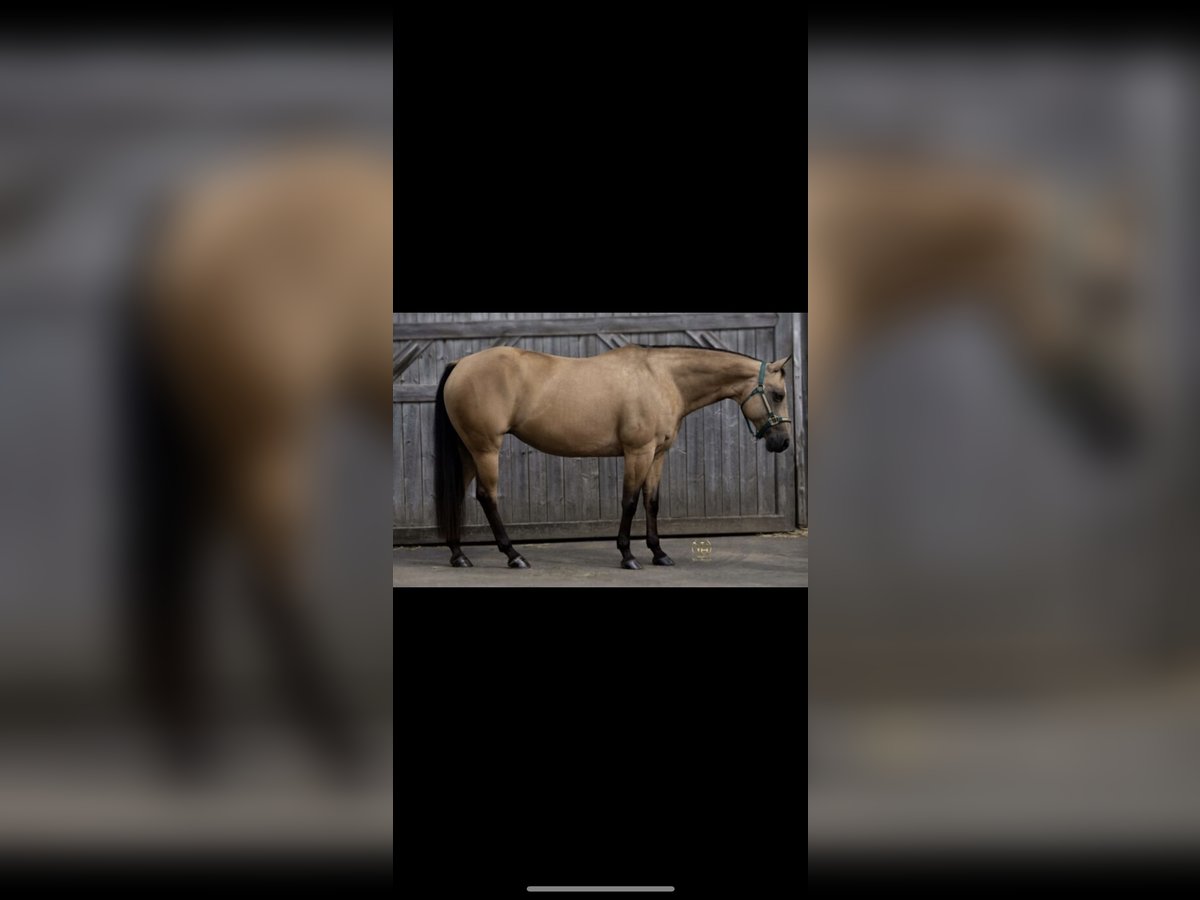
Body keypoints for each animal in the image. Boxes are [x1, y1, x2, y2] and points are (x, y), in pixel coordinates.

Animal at [436, 345, 792, 571]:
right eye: (778, 394)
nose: (783, 442)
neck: (662, 378)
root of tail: (461, 364)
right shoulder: (638, 452)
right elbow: (629, 502)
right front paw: (628, 556)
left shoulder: (658, 454)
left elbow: (651, 502)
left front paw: (659, 553)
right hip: (485, 449)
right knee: (487, 496)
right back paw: (514, 555)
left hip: (468, 451)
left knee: (457, 496)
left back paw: (458, 555)